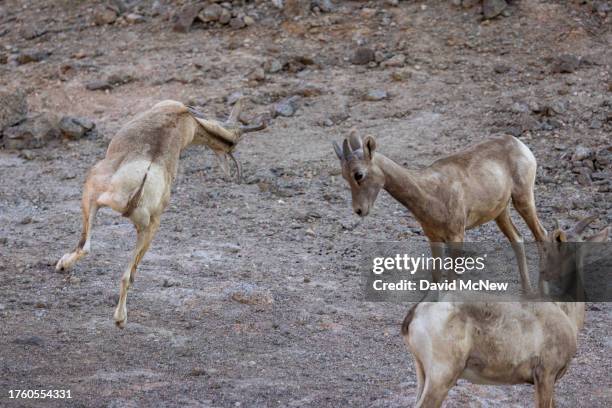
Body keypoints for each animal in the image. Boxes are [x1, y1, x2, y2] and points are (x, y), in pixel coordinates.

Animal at [56, 99, 266, 328]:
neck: (185, 118)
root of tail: (142, 182)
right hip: (149, 227)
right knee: (127, 275)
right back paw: (121, 319)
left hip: (94, 194)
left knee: (86, 246)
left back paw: (63, 266)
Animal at [334, 134, 548, 290]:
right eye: (344, 175)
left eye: (359, 174)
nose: (359, 210)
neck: (430, 193)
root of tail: (518, 143)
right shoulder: (434, 238)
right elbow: (437, 277)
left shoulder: (456, 237)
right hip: (500, 213)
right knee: (518, 239)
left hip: (523, 199)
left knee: (541, 235)